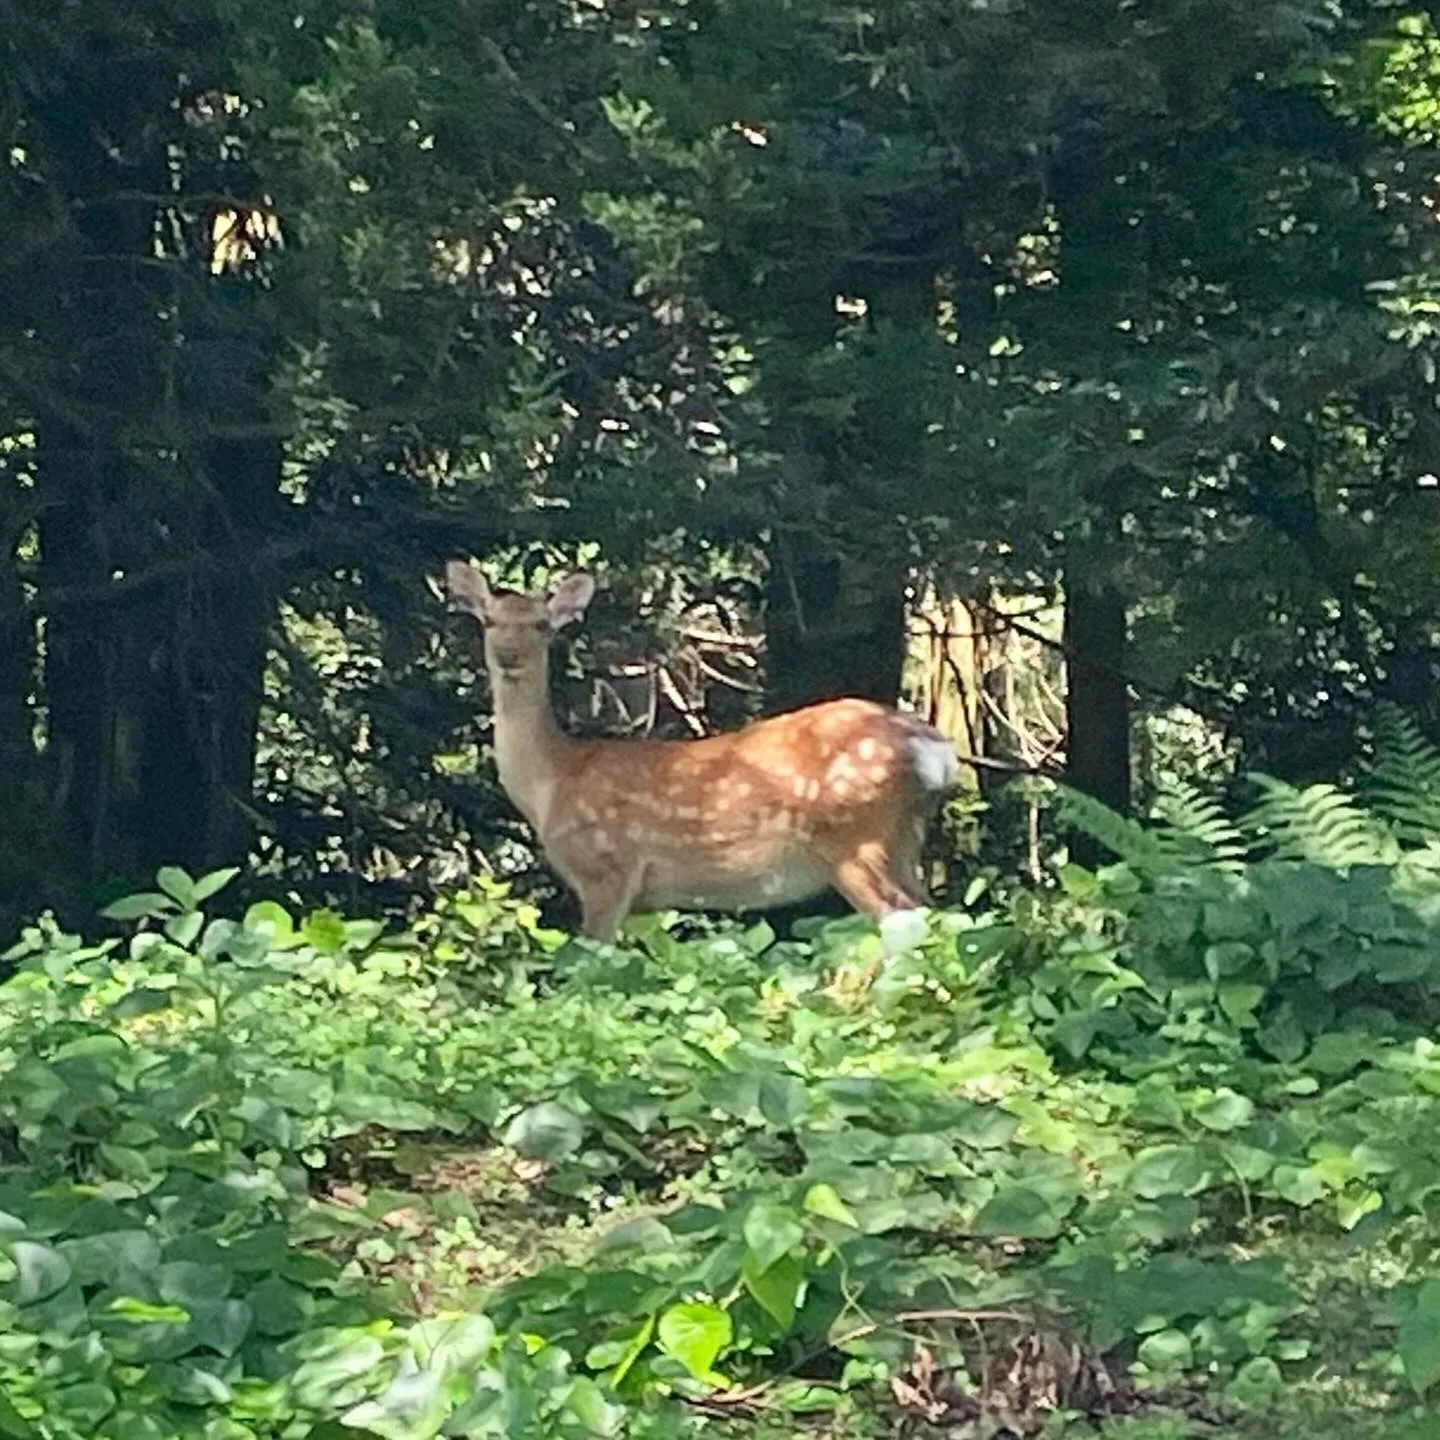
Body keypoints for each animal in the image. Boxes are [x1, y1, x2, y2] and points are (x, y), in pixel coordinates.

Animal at [446, 559, 959, 941]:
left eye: (541, 625)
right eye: (489, 620)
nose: (508, 656)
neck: (552, 782)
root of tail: (935, 750)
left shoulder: (605, 870)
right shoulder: (646, 902)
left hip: (854, 837)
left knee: (902, 922)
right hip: (903, 840)